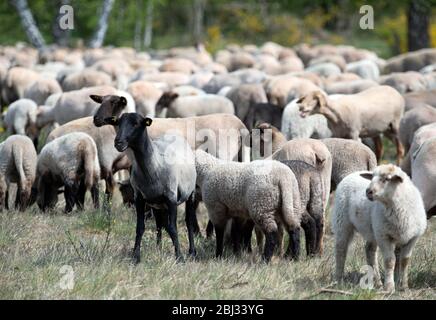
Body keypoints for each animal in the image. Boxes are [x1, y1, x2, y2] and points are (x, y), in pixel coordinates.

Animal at [104, 113, 196, 262]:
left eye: (136, 123)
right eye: (118, 122)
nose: (118, 142)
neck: (154, 165)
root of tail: (175, 135)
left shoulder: (171, 197)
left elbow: (173, 228)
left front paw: (179, 257)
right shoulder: (139, 198)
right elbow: (140, 227)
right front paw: (136, 257)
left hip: (190, 194)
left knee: (189, 222)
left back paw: (192, 251)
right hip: (157, 203)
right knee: (159, 223)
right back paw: (158, 248)